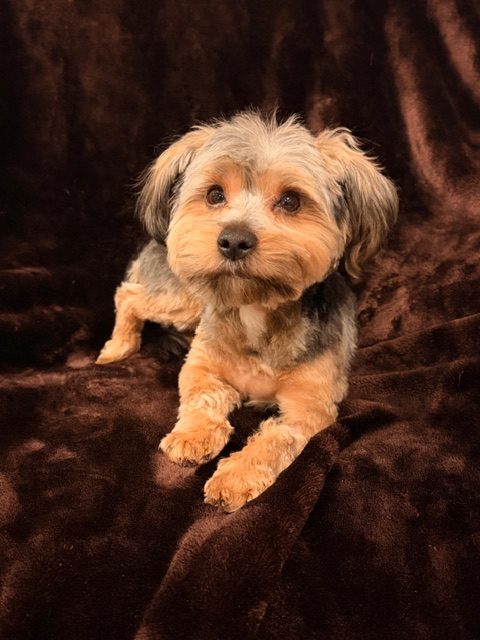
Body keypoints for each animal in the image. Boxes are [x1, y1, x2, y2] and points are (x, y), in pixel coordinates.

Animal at [97, 111, 398, 512]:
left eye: (290, 200)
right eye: (214, 195)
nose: (234, 239)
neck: (256, 311)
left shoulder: (310, 405)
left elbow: (278, 438)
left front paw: (237, 475)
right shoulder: (202, 363)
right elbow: (202, 395)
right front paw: (193, 435)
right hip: (187, 300)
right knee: (129, 295)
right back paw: (118, 346)